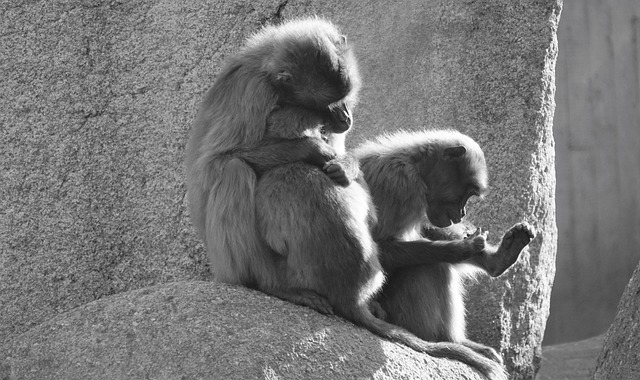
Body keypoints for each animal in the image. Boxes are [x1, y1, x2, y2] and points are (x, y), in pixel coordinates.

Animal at [188, 18, 508, 380]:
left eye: (343, 99)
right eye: (328, 104)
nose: (345, 117)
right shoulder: (253, 92)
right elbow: (218, 160)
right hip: (234, 263)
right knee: (232, 169)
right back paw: (268, 286)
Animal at [356, 130, 536, 366]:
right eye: (467, 192)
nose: (462, 213)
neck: (415, 164)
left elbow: (426, 228)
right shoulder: (399, 185)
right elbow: (378, 247)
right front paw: (461, 248)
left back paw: (499, 260)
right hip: (396, 313)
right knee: (432, 265)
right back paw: (449, 341)